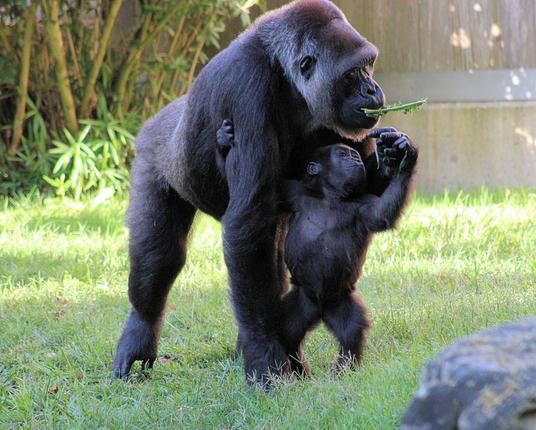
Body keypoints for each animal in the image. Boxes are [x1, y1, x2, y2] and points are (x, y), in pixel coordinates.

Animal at [113, 0, 392, 384]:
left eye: (369, 64)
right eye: (352, 74)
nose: (372, 90)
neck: (284, 74)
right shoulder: (248, 87)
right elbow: (248, 223)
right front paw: (264, 356)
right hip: (150, 154)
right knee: (160, 253)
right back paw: (140, 327)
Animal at [216, 119, 416, 374]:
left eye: (353, 155)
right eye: (343, 154)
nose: (357, 160)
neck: (330, 196)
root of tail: (320, 310)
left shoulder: (363, 206)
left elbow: (382, 215)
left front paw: (406, 162)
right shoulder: (292, 192)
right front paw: (224, 141)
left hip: (339, 300)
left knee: (351, 331)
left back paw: (342, 369)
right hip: (301, 301)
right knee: (288, 333)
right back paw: (300, 369)